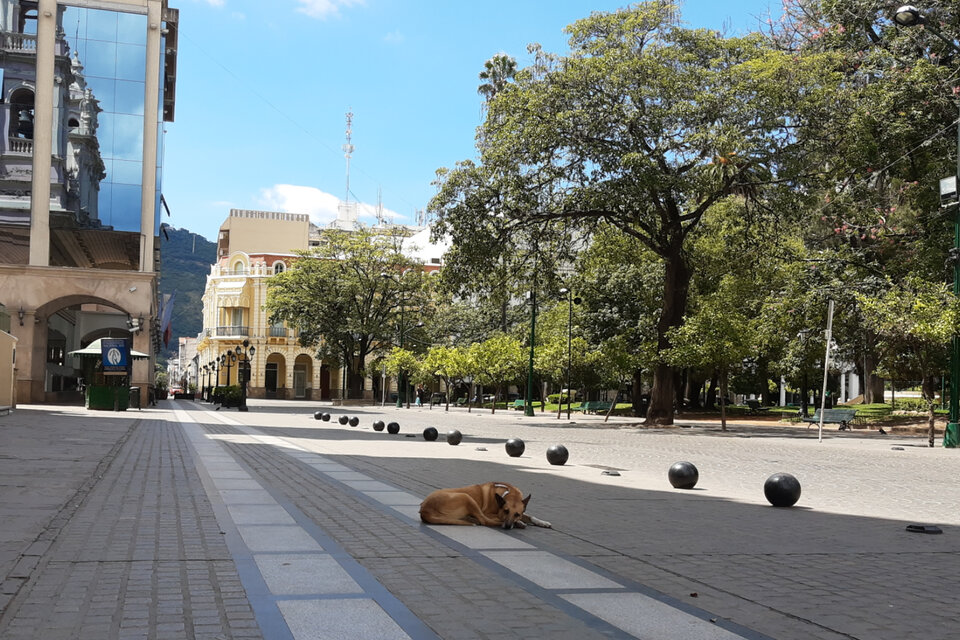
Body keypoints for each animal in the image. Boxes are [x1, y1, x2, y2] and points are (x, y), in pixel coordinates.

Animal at [418, 480, 548, 528]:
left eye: (517, 514)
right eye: (506, 511)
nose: (507, 526)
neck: (508, 493)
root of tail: (424, 509)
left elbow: (530, 516)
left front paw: (543, 522)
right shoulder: (490, 513)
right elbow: (492, 518)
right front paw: (519, 522)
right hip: (467, 497)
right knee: (485, 521)